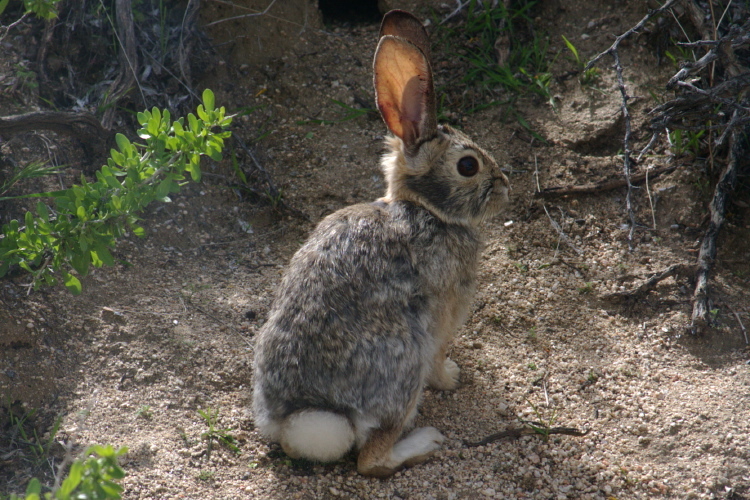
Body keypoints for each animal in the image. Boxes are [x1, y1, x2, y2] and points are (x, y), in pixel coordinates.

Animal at [254, 9, 512, 478]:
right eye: (468, 166)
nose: (505, 185)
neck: (425, 210)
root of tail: (304, 417)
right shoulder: (446, 312)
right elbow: (441, 355)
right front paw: (452, 377)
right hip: (403, 368)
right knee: (370, 460)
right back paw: (425, 443)